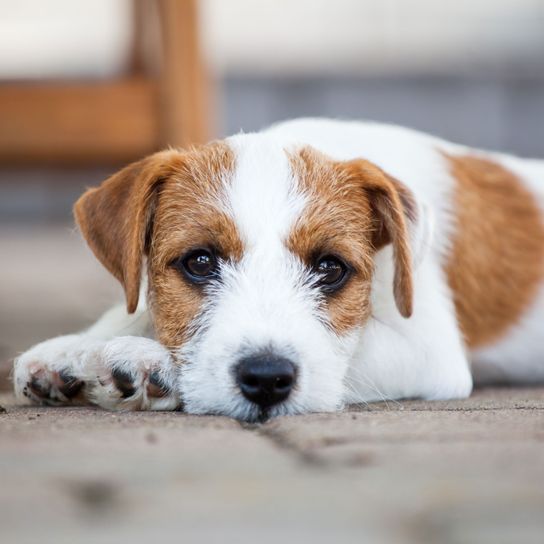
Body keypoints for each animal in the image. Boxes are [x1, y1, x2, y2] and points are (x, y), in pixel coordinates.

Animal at [11, 119, 544, 422]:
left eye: (330, 268)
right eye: (199, 261)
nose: (266, 379)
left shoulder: (429, 348)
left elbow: (342, 357)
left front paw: (147, 363)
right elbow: (134, 310)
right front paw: (73, 350)